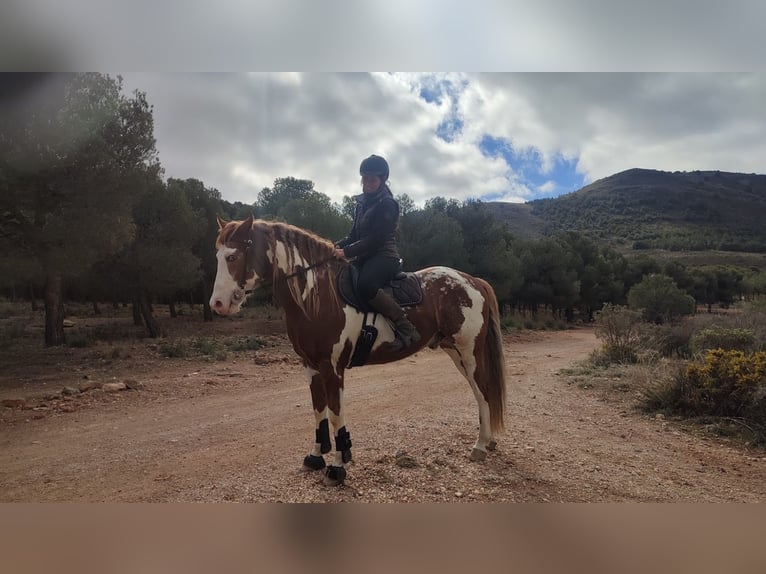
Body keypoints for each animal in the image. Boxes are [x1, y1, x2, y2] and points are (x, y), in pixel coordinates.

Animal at [209, 215, 508, 486]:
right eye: (218, 257)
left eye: (233, 257)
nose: (218, 304)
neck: (318, 294)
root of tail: (472, 281)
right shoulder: (310, 366)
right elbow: (318, 411)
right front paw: (316, 457)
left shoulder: (332, 368)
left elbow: (335, 414)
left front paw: (338, 466)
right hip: (455, 352)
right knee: (481, 393)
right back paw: (488, 442)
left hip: (468, 352)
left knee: (483, 392)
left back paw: (480, 446)